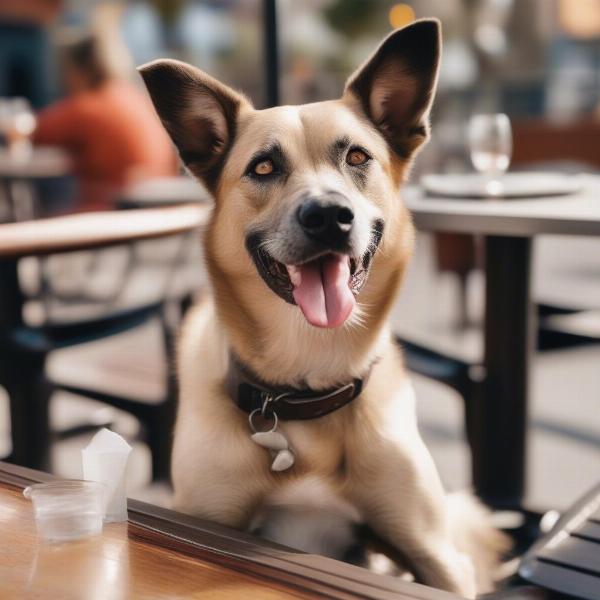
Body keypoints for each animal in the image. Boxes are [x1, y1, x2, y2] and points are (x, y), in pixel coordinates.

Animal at [141, 18, 510, 596]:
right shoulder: (205, 517)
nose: (328, 217)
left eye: (357, 157)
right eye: (263, 167)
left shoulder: (435, 557)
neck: (306, 378)